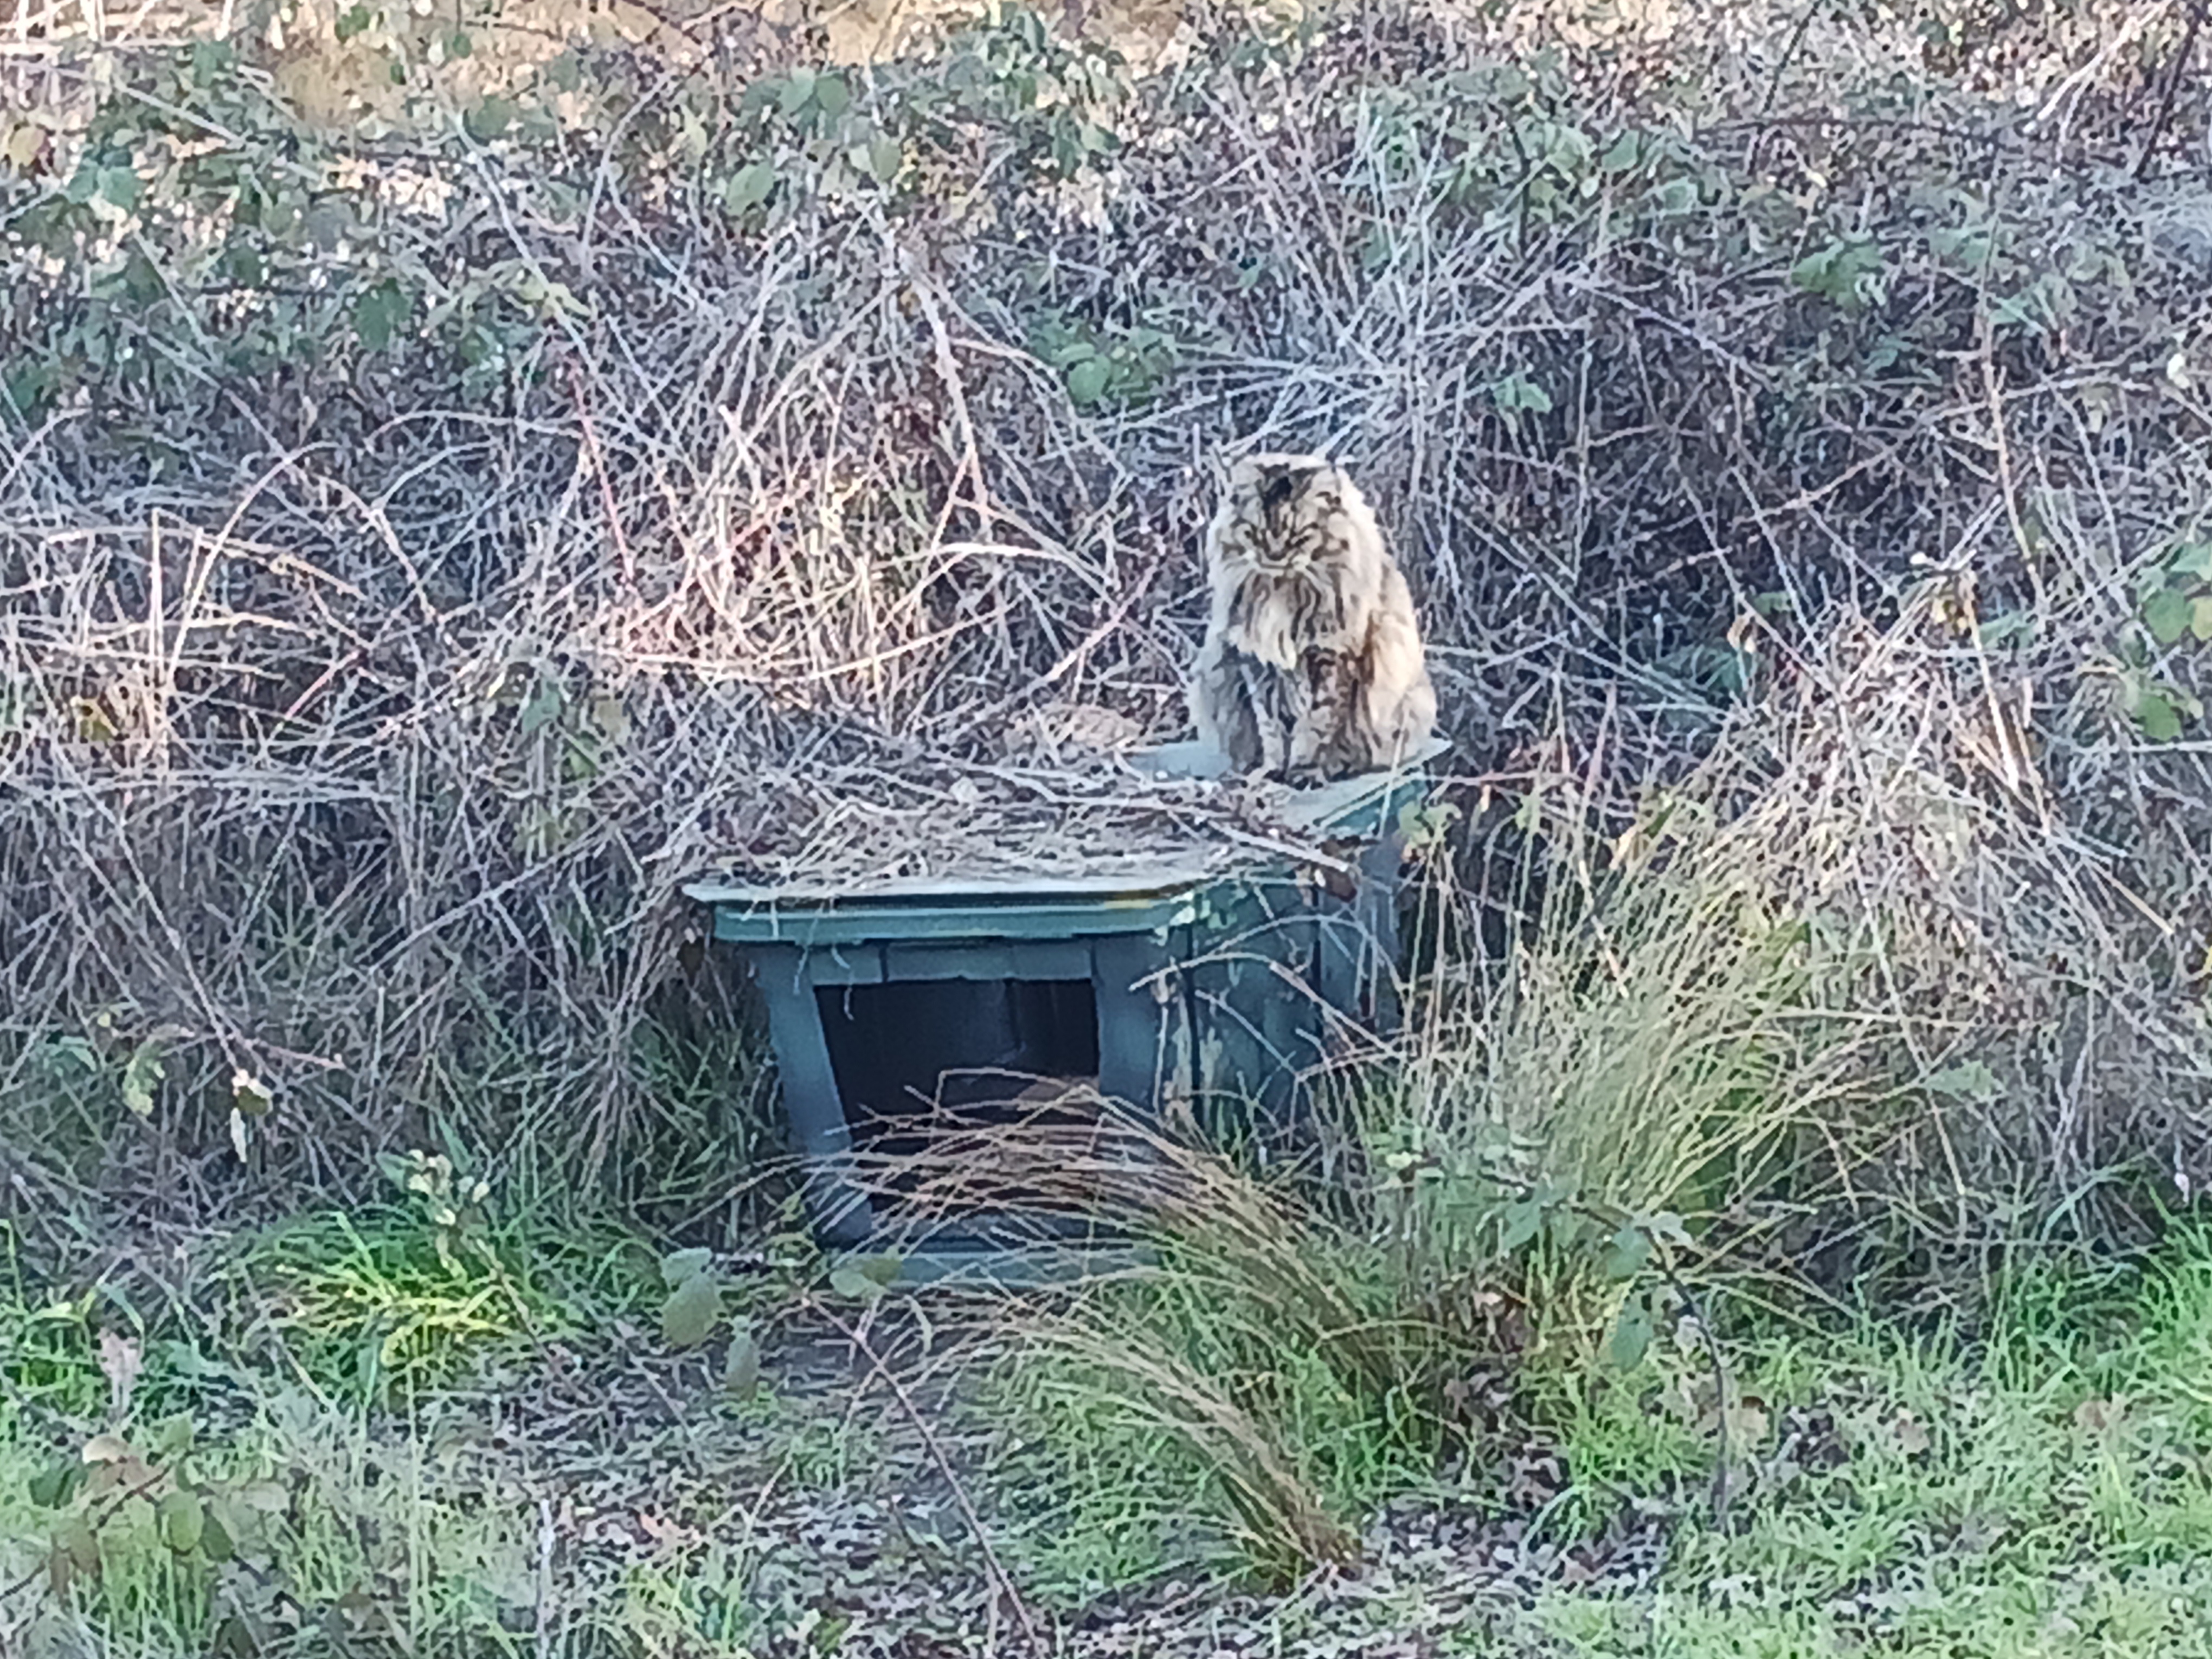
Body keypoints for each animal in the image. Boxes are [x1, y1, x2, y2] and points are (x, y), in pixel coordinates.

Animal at [1194, 451, 1433, 787]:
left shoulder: (1332, 657)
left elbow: (1316, 725)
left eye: (1299, 537)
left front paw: (1305, 770)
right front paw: (1271, 771)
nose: (1275, 556)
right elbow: (1271, 728)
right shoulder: (1257, 662)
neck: (1280, 590)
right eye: (1255, 533)